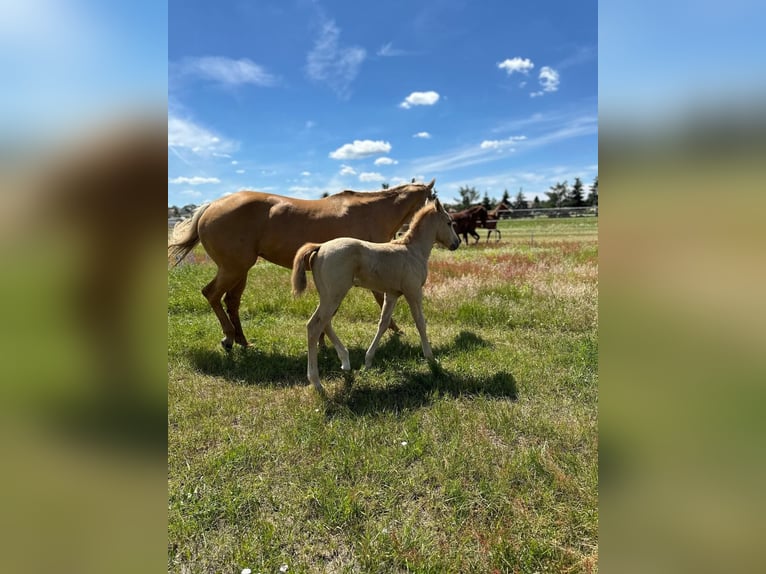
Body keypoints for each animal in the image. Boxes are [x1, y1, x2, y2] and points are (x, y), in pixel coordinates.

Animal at [169, 180, 436, 352]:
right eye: (435, 197)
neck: (371, 212)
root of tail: (211, 206)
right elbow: (380, 301)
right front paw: (395, 330)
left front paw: (322, 343)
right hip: (233, 269)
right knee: (211, 294)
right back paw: (228, 337)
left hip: (239, 271)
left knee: (231, 302)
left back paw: (242, 341)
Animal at [292, 199, 460, 396]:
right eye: (449, 222)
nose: (456, 243)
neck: (412, 250)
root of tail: (320, 247)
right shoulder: (413, 292)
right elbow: (420, 322)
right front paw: (431, 359)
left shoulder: (392, 294)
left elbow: (383, 323)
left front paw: (368, 362)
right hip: (334, 295)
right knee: (314, 326)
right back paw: (317, 382)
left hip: (329, 296)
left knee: (325, 323)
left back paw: (345, 362)